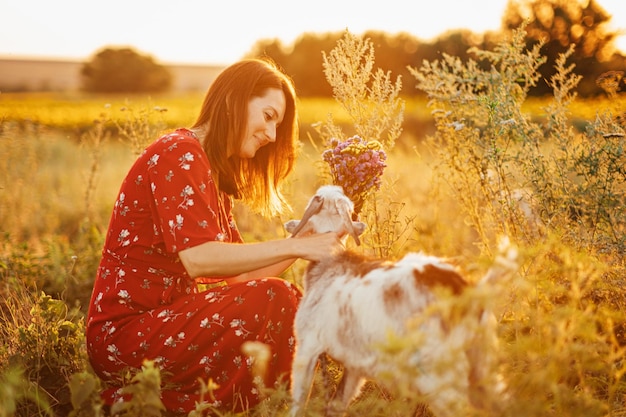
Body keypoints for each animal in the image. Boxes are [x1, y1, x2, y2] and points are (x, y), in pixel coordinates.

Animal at [286, 185, 510, 416]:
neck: (329, 261)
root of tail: (466, 291)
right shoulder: (355, 366)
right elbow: (337, 404)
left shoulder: (307, 346)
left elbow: (298, 402)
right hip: (482, 366)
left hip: (439, 371)